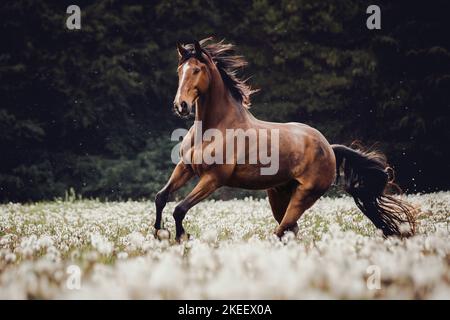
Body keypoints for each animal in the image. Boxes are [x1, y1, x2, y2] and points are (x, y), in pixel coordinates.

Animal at [154, 37, 414, 241]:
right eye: (180, 71)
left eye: (196, 70)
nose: (181, 106)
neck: (212, 129)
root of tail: (328, 147)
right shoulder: (185, 167)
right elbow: (161, 197)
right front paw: (158, 234)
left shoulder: (213, 178)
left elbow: (179, 208)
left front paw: (181, 237)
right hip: (278, 194)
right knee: (290, 231)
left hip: (304, 195)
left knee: (282, 231)